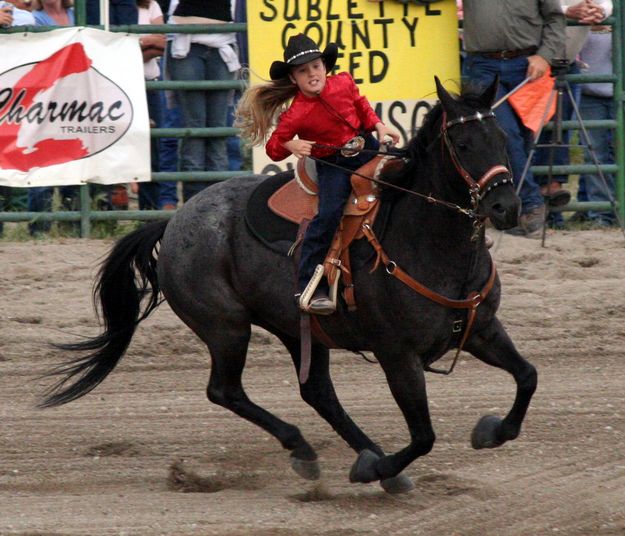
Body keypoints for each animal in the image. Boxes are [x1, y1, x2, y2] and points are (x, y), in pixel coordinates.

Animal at [41, 78, 536, 494]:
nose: (505, 206)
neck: (422, 237)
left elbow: (527, 376)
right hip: (226, 327)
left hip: (298, 329)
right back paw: (311, 450)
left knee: (317, 393)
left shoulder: (481, 329)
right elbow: (424, 435)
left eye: (503, 138)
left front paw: (491, 431)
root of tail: (175, 220)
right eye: (463, 143)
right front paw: (377, 469)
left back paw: (361, 456)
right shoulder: (398, 355)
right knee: (225, 391)